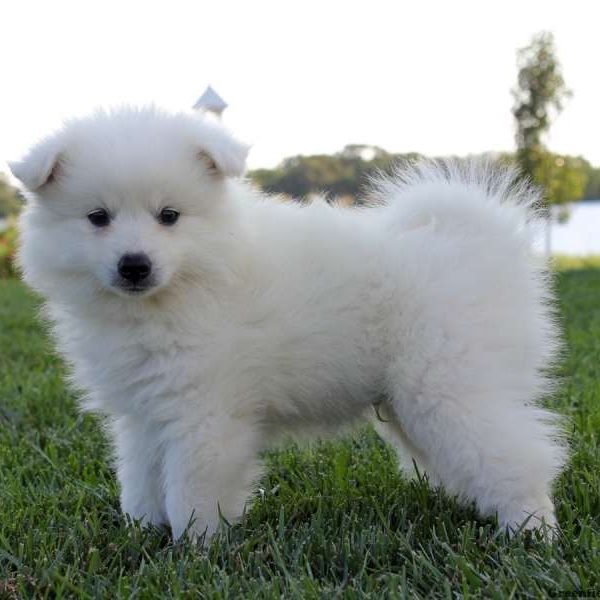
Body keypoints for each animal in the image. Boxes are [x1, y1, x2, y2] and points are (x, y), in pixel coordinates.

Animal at [11, 105, 568, 540]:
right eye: (97, 217)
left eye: (169, 215)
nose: (134, 265)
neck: (182, 289)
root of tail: (480, 242)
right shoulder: (144, 414)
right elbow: (141, 478)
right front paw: (143, 532)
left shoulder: (206, 413)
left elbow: (191, 487)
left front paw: (195, 548)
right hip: (415, 401)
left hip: (449, 386)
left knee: (516, 454)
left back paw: (531, 531)